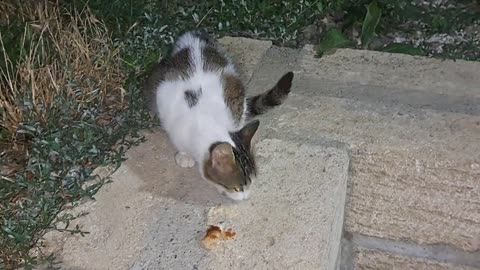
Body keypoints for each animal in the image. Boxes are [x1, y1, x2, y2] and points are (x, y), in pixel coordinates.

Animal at [143, 31, 292, 200]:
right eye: (236, 188)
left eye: (252, 182)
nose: (246, 197)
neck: (206, 121)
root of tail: (193, 36)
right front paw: (185, 156)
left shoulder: (235, 111)